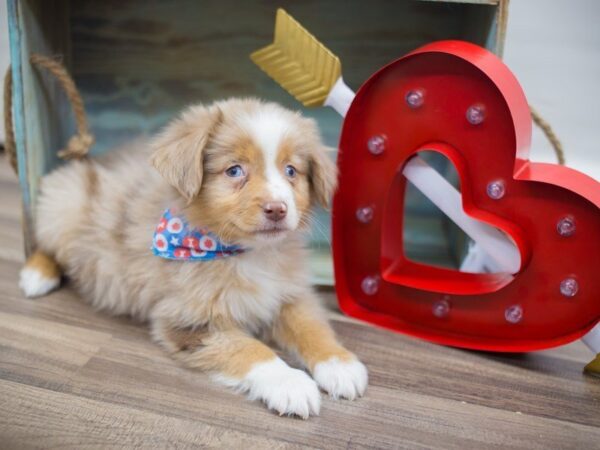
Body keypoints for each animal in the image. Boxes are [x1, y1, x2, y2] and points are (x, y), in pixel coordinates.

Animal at [17, 97, 366, 418]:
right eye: (234, 170)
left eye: (291, 170)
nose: (278, 209)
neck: (246, 253)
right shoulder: (190, 321)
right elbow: (249, 349)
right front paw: (291, 385)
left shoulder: (289, 293)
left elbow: (311, 326)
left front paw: (339, 364)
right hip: (63, 206)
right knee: (45, 243)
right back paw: (37, 276)